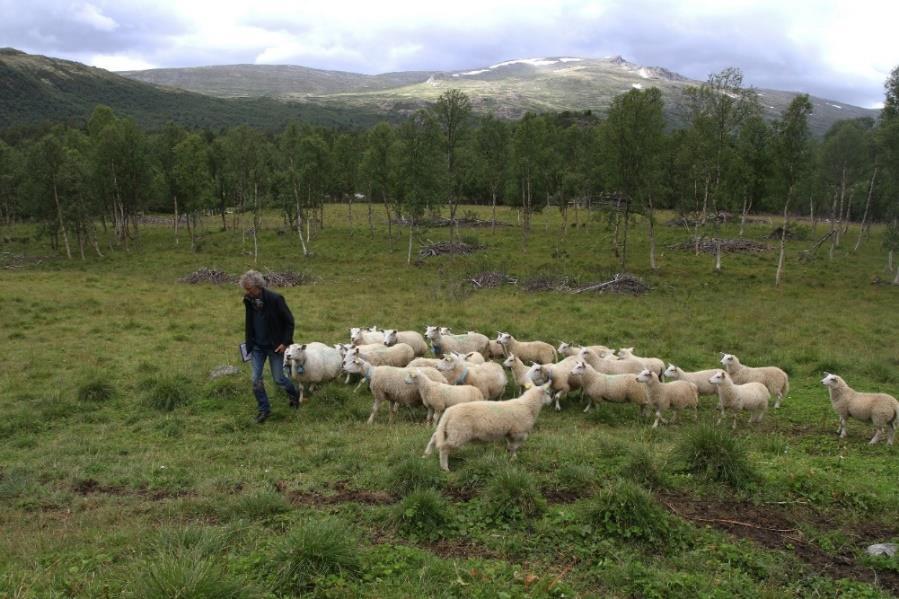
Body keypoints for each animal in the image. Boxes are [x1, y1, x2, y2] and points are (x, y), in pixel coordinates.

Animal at [424, 384, 556, 474]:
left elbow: (511, 446)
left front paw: (510, 456)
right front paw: (514, 458)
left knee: (434, 438)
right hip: (459, 433)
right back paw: (445, 467)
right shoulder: (518, 432)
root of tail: (449, 412)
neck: (528, 406)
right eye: (547, 393)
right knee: (444, 448)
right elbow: (516, 446)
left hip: (449, 430)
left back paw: (426, 455)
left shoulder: (510, 433)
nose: (551, 401)